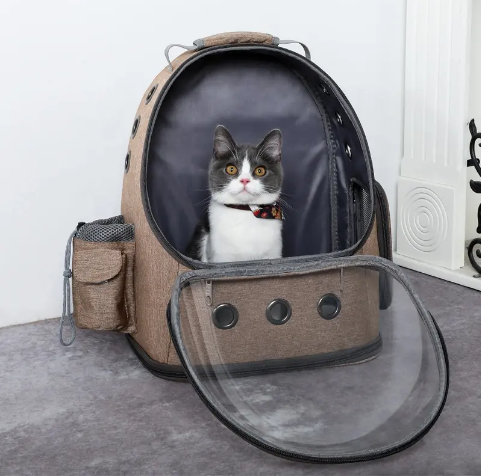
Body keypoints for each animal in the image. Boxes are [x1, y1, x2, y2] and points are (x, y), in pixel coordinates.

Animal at [186, 125, 284, 263]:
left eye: (260, 171)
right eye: (231, 169)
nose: (245, 180)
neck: (245, 211)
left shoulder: (273, 254)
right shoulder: (221, 257)